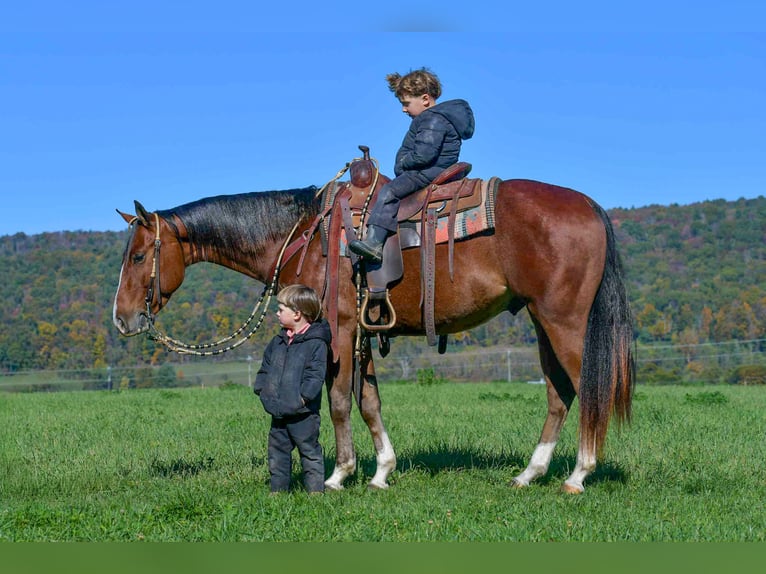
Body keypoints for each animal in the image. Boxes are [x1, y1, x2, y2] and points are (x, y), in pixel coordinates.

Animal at [112, 169, 635, 494]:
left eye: (138, 256)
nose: (122, 318)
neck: (304, 234)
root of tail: (590, 206)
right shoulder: (362, 332)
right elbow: (369, 402)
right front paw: (382, 472)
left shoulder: (340, 328)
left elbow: (340, 401)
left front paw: (338, 475)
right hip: (542, 322)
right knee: (558, 393)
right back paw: (530, 473)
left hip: (563, 321)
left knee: (589, 387)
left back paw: (578, 475)